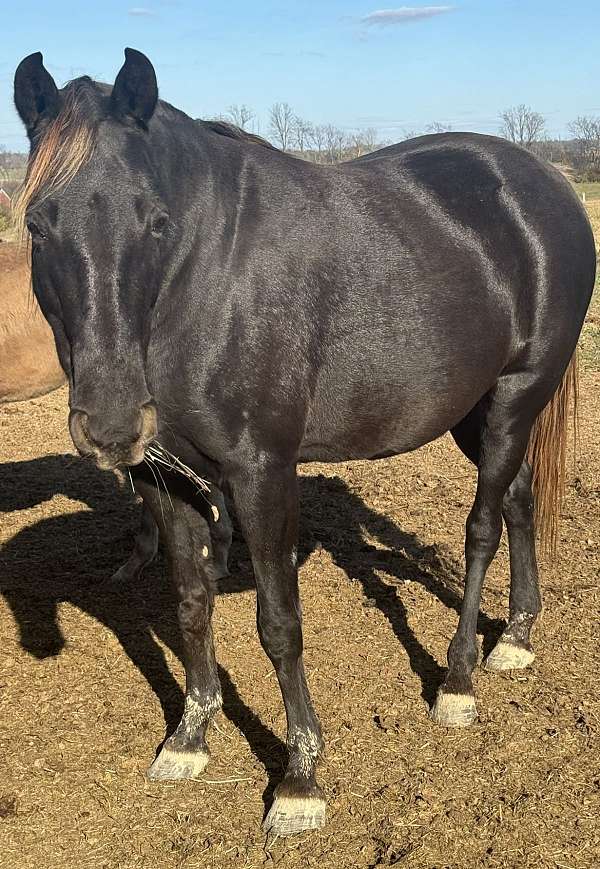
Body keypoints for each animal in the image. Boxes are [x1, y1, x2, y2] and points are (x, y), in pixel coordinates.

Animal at [13, 49, 595, 837]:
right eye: (38, 225)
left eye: (157, 223)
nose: (110, 424)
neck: (202, 282)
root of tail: (543, 184)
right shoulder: (169, 479)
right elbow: (189, 603)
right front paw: (190, 738)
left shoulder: (264, 473)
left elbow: (279, 623)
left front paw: (299, 779)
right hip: (474, 410)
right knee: (520, 499)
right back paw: (517, 637)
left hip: (515, 394)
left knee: (481, 528)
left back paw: (458, 678)